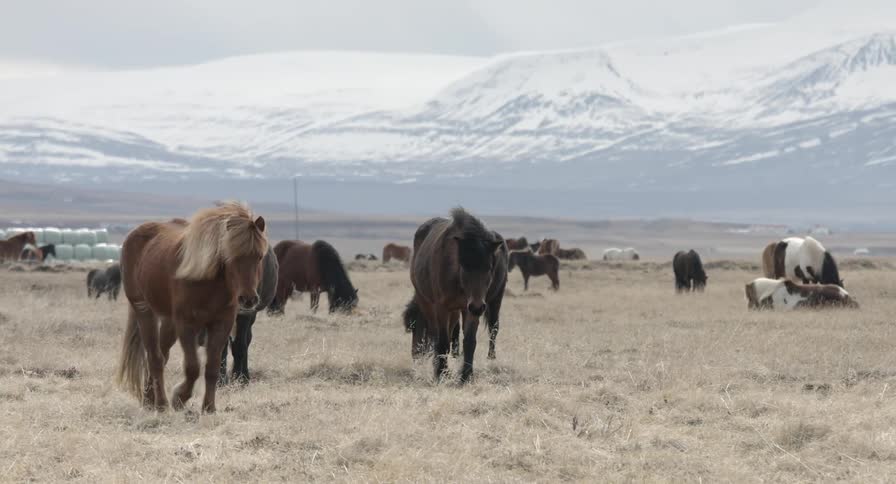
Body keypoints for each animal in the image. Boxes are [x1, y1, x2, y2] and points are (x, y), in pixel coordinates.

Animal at [116, 202, 268, 413]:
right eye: (231, 257)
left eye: (259, 257)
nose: (248, 299)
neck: (211, 283)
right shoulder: (186, 325)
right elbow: (193, 367)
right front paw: (179, 398)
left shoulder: (222, 324)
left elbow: (212, 367)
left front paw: (209, 408)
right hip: (144, 311)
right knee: (155, 358)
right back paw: (161, 404)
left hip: (169, 322)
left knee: (162, 355)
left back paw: (149, 399)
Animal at [404, 208, 504, 383]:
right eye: (464, 266)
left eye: (489, 267)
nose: (415, 354)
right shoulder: (442, 308)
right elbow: (442, 341)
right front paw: (441, 373)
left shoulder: (470, 309)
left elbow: (469, 341)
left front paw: (466, 376)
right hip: (427, 303)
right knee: (435, 334)